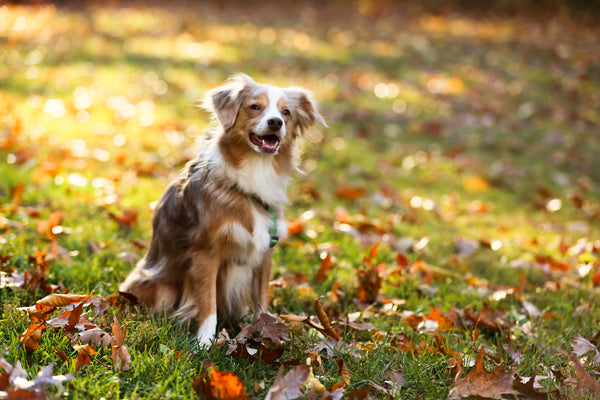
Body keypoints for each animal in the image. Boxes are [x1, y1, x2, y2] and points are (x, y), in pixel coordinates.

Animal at [119, 74, 326, 346]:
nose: (275, 122)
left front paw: (265, 331)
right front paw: (204, 343)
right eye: (255, 107)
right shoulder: (206, 253)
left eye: (286, 112)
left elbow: (261, 300)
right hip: (162, 288)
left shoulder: (265, 253)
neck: (251, 180)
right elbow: (208, 305)